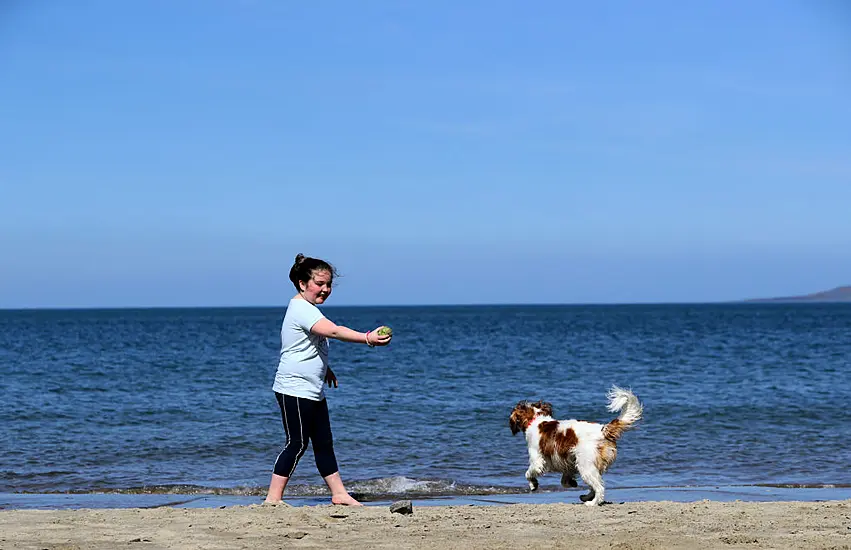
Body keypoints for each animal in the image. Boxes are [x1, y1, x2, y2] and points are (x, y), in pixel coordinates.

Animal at [510, 386, 644, 506]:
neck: (536, 419)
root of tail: (603, 429)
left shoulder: (537, 460)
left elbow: (528, 473)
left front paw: (533, 484)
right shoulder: (568, 462)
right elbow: (564, 481)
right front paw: (572, 483)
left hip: (585, 465)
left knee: (599, 487)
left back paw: (593, 502)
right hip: (589, 465)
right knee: (595, 484)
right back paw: (586, 497)